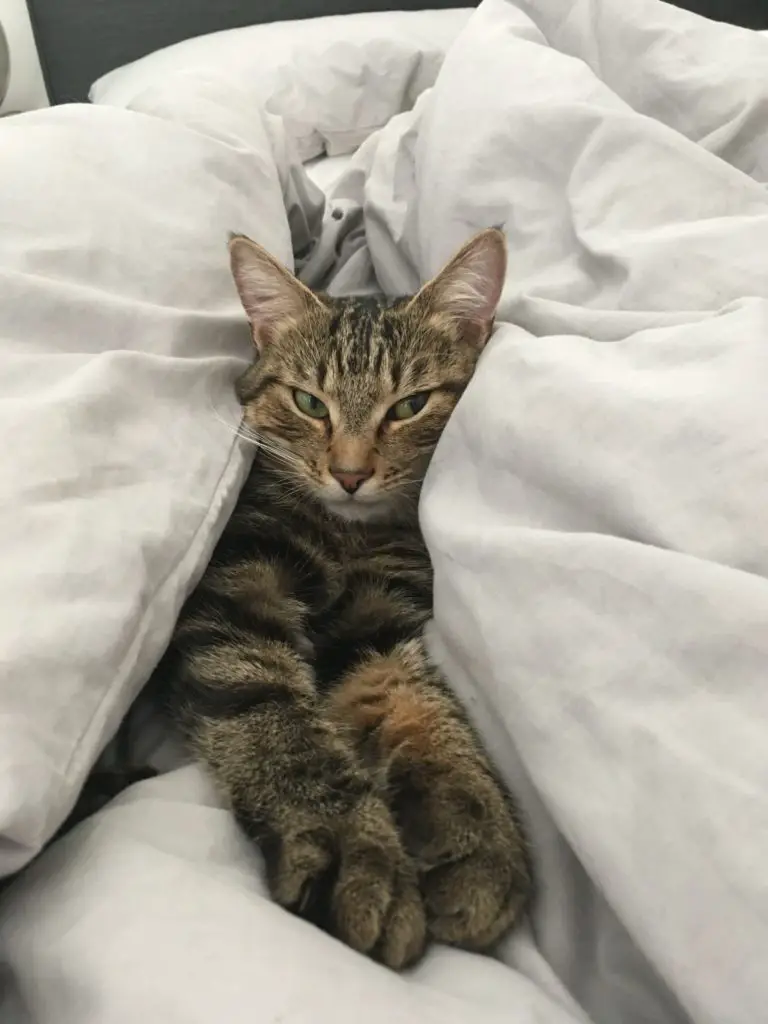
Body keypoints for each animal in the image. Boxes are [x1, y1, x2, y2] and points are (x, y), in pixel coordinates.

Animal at [160, 226, 536, 966]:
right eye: (310, 403)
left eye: (410, 406)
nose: (351, 473)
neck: (346, 536)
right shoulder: (234, 593)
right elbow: (278, 721)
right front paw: (351, 847)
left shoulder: (379, 616)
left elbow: (416, 700)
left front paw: (472, 822)